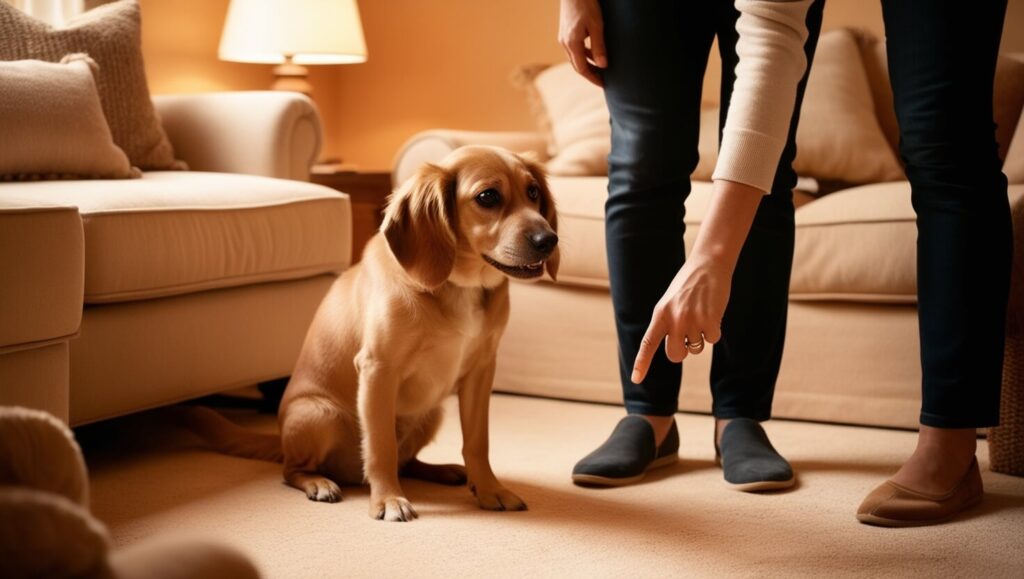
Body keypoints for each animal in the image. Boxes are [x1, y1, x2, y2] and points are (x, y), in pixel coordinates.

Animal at [276, 145, 557, 518]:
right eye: (488, 196)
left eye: (533, 192)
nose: (549, 240)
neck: (459, 284)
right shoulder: (379, 369)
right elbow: (381, 447)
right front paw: (387, 499)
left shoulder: (481, 371)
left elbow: (478, 442)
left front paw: (489, 489)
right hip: (319, 414)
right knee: (291, 470)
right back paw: (318, 482)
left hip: (432, 413)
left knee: (408, 462)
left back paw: (443, 471)